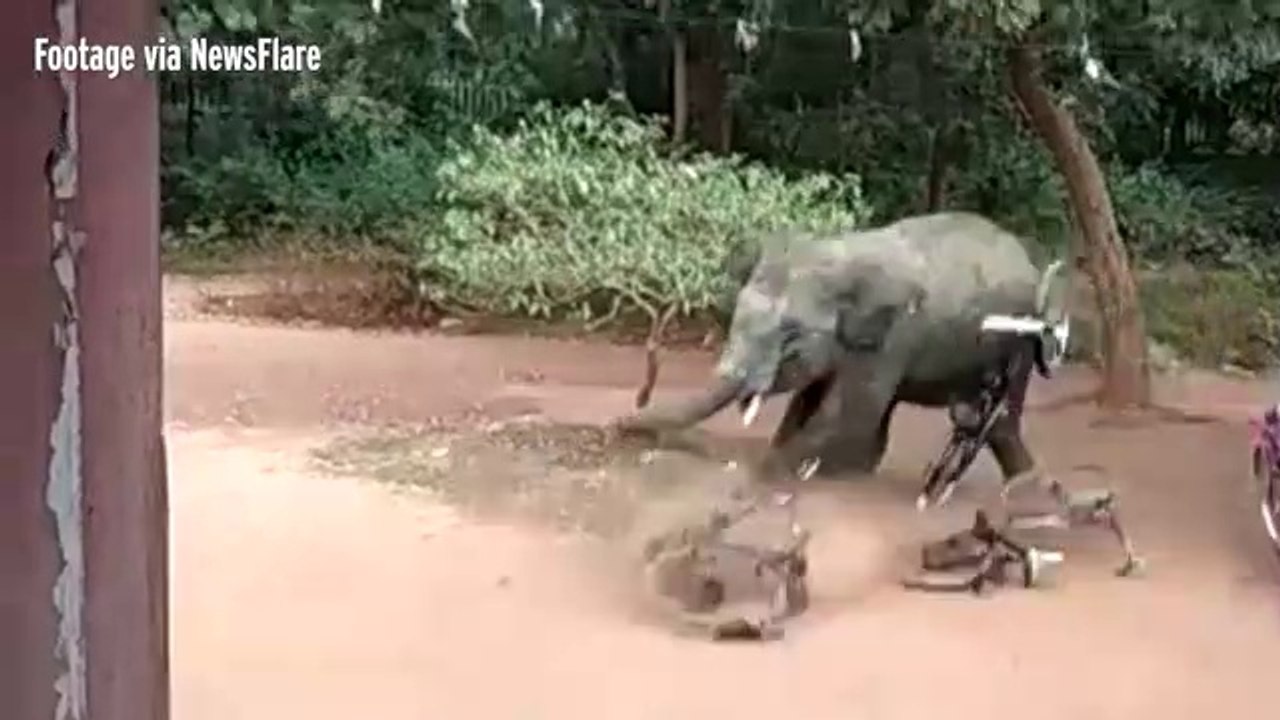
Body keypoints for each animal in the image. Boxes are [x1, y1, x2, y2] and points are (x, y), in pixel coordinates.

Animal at [615, 211, 1067, 480]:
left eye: (790, 334)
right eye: (736, 317)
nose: (617, 428)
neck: (840, 253)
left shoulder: (894, 335)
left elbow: (848, 411)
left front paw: (767, 472)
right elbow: (810, 402)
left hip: (1020, 346)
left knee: (1000, 417)